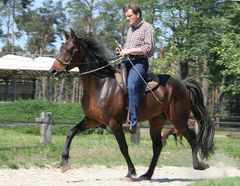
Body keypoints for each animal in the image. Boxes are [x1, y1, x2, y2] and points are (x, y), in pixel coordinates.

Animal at [49, 29, 215, 181]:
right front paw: (64, 163)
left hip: (178, 120)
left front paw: (131, 172)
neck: (101, 84)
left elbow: (123, 147)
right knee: (158, 146)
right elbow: (71, 132)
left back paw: (199, 165)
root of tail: (182, 85)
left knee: (192, 138)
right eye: (61, 48)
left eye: (70, 49)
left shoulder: (114, 123)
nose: (54, 71)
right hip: (157, 121)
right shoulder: (92, 121)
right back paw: (147, 175)